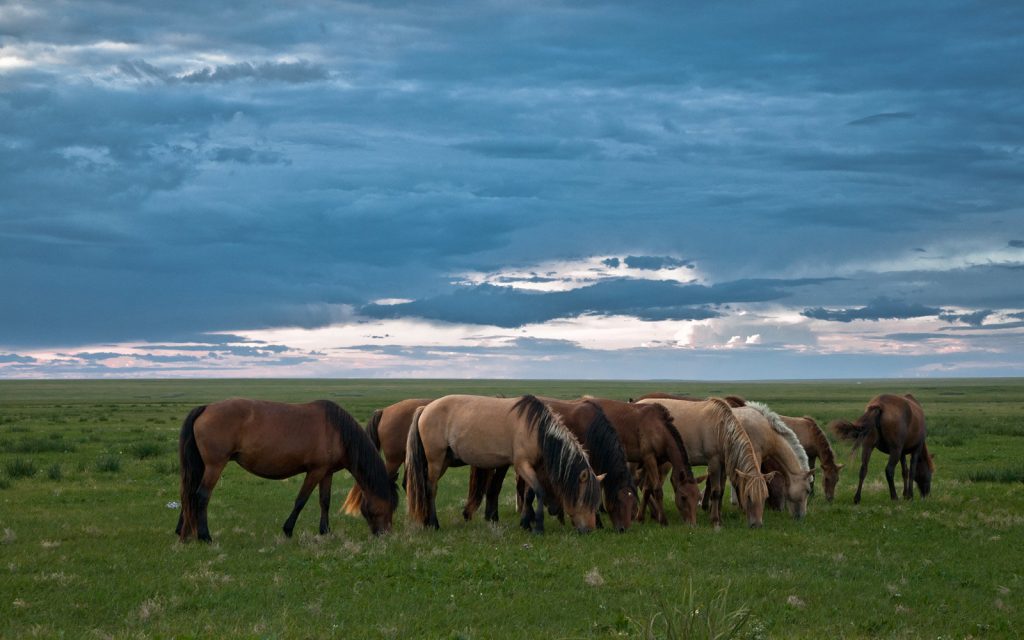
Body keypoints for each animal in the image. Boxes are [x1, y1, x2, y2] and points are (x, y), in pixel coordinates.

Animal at [178, 397, 397, 540]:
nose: (385, 534)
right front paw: (288, 530)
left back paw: (183, 531)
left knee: (189, 493)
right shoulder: (315, 471)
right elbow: (301, 500)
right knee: (201, 495)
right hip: (214, 466)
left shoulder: (326, 473)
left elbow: (324, 501)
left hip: (202, 466)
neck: (338, 432)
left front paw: (325, 531)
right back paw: (204, 536)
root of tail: (206, 408)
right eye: (389, 506)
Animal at [403, 395, 602, 532]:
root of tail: (425, 408)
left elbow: (529, 494)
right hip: (435, 460)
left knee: (426, 486)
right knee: (431, 489)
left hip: (443, 460)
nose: (590, 529)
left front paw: (526, 524)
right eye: (585, 499)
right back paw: (434, 523)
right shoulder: (522, 465)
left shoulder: (532, 467)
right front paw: (538, 527)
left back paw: (426, 521)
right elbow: (539, 491)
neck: (536, 429)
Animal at [466, 397, 638, 532]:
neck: (591, 427)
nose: (623, 529)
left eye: (633, 504)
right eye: (618, 501)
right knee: (495, 486)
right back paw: (494, 516)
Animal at [634, 397, 770, 528]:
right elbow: (715, 491)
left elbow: (720, 491)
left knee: (646, 487)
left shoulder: (722, 465)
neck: (721, 428)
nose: (757, 525)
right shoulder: (714, 462)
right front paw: (715, 520)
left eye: (765, 497)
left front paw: (719, 517)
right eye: (748, 496)